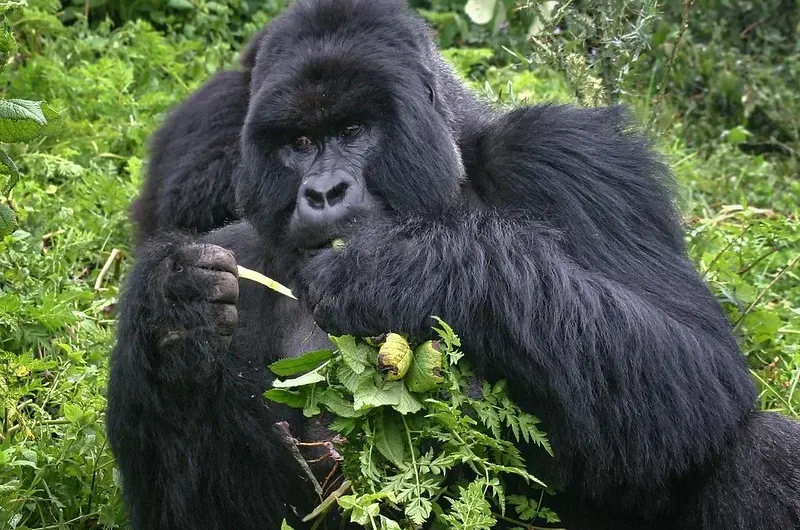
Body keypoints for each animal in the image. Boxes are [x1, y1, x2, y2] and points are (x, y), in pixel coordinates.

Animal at [106, 1, 800, 528]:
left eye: (353, 130)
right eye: (299, 143)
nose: (323, 192)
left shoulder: (570, 155)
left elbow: (700, 366)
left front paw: (407, 268)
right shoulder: (241, 249)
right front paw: (175, 316)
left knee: (759, 447)